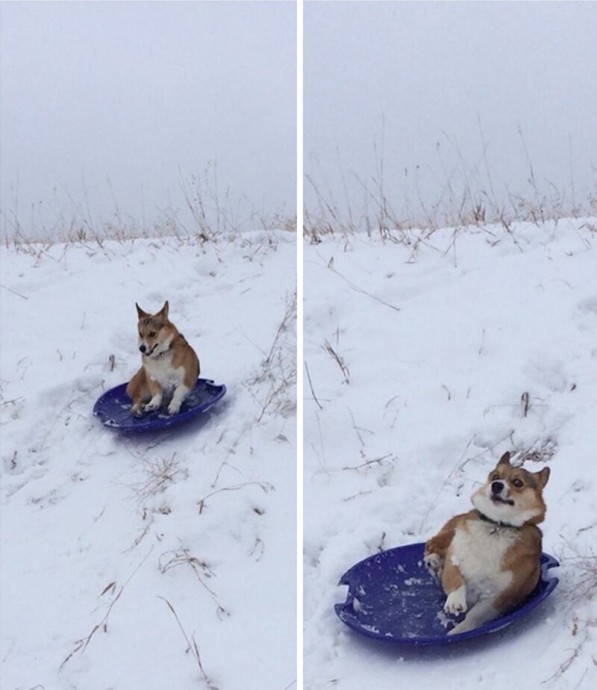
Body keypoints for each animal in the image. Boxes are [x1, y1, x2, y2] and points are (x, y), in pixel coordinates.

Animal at [424, 452, 548, 636]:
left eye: (517, 482)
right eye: (495, 476)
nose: (496, 485)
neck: (497, 525)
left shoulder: (498, 596)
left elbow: (474, 617)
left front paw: (458, 631)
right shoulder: (454, 557)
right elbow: (454, 578)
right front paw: (455, 601)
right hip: (449, 534)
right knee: (431, 544)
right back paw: (433, 560)